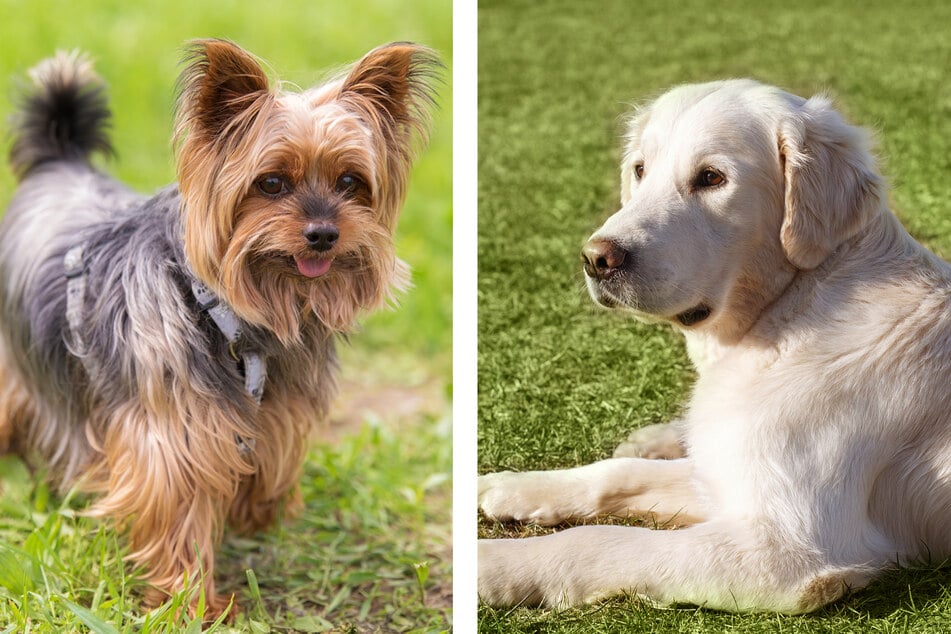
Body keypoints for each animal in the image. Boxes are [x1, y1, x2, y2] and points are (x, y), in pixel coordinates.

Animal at [480, 79, 951, 612]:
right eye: (640, 169)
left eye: (711, 178)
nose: (596, 259)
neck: (790, 311)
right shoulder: (720, 473)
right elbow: (618, 472)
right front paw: (515, 486)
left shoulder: (789, 550)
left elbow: (601, 540)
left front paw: (488, 563)